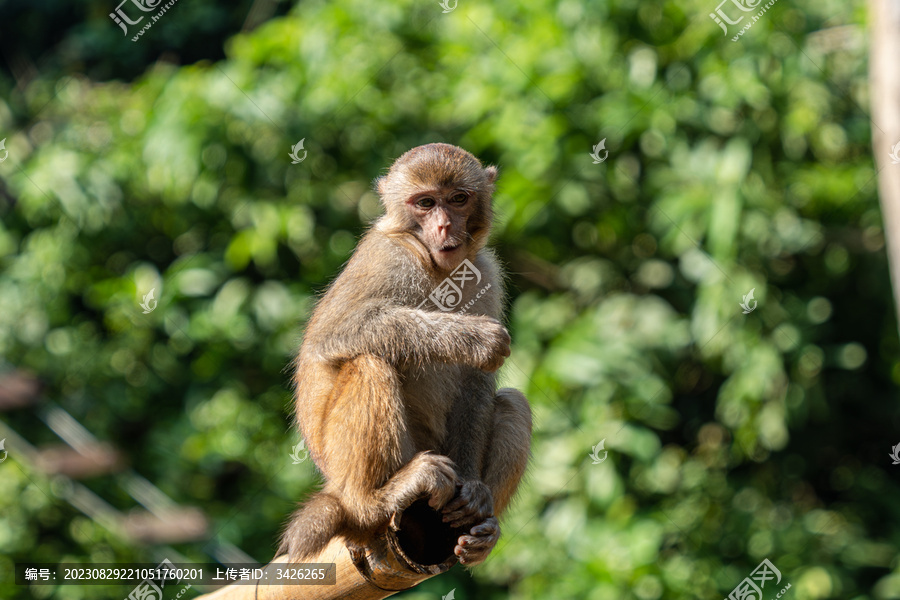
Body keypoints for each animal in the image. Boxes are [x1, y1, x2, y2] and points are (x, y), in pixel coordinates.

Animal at [280, 143, 536, 564]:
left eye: (458, 199)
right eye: (425, 203)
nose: (444, 226)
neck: (437, 269)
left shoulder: (485, 272)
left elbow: (477, 383)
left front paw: (472, 490)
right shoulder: (386, 258)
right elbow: (333, 332)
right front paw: (470, 338)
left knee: (513, 401)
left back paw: (483, 526)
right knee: (368, 363)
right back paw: (373, 501)